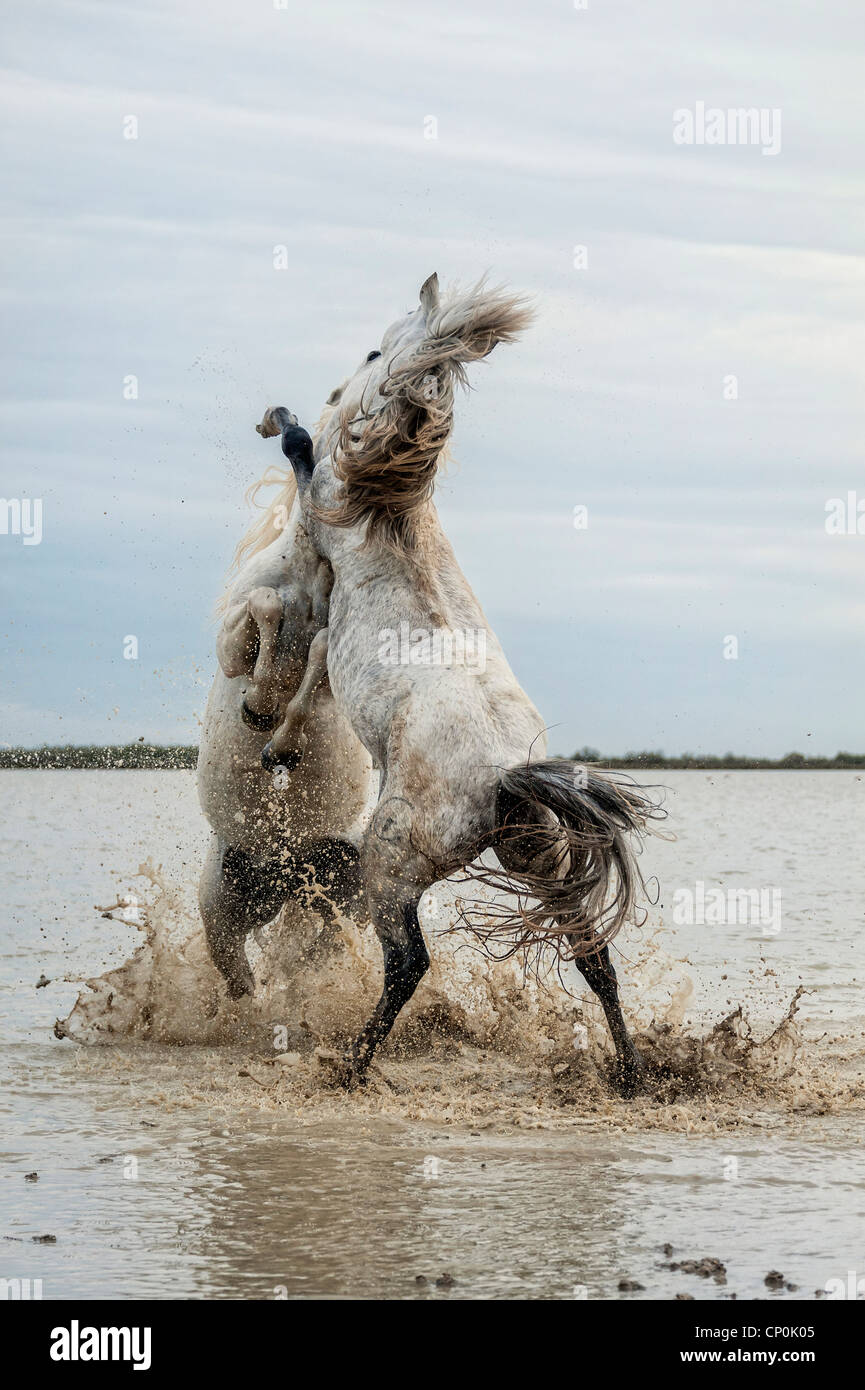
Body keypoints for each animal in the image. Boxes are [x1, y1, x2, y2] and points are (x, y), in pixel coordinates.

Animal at [257, 273, 664, 1095]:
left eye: (375, 350)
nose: (338, 389)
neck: (392, 509)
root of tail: (505, 775)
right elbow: (313, 658)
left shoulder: (321, 533)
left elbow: (299, 454)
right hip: (538, 861)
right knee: (593, 955)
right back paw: (631, 1074)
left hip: (390, 863)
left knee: (408, 961)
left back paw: (351, 1067)